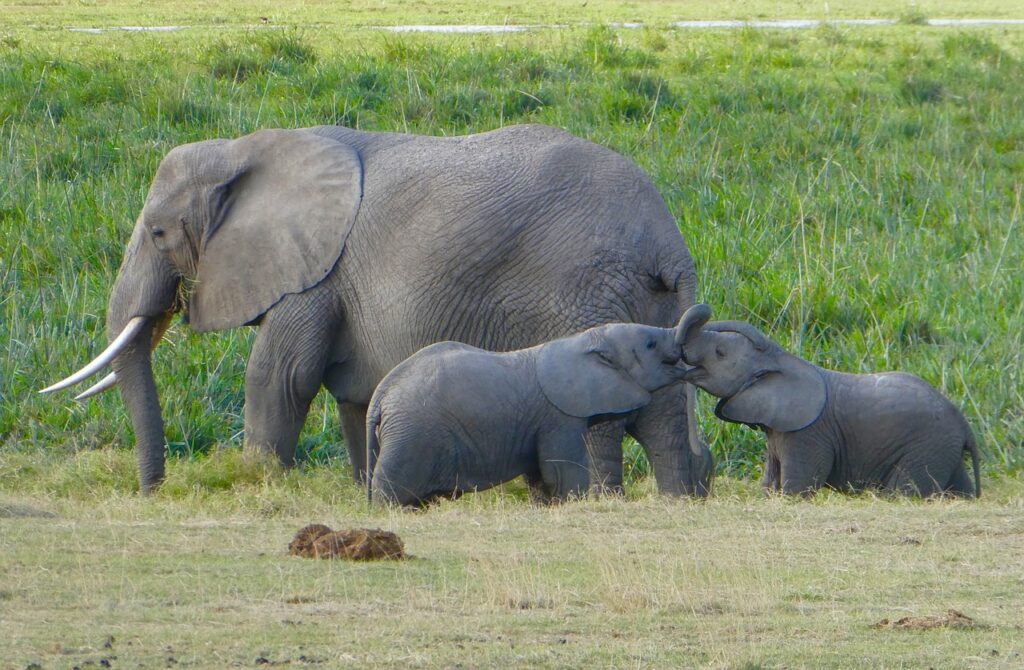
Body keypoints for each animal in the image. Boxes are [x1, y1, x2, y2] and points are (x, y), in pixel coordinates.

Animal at [364, 317, 692, 506]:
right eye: (650, 344)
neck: (580, 341)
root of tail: (380, 396)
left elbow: (541, 475)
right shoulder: (559, 418)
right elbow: (562, 471)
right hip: (411, 435)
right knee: (390, 486)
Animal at [675, 305, 978, 497]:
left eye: (720, 353)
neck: (781, 359)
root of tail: (965, 427)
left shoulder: (808, 434)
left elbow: (797, 487)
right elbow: (769, 483)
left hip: (926, 447)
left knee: (902, 492)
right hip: (943, 450)